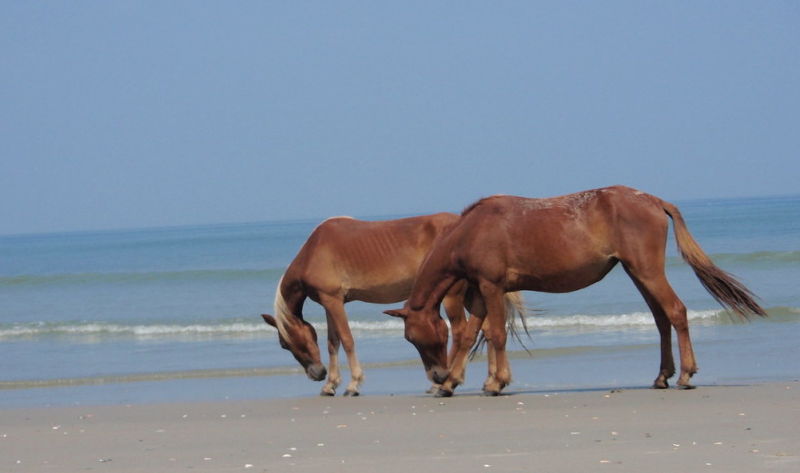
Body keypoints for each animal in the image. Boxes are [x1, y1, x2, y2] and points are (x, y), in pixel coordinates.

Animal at [260, 213, 524, 394]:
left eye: (284, 344)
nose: (316, 373)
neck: (314, 251)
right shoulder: (331, 301)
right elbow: (333, 342)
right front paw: (330, 385)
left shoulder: (333, 300)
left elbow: (346, 339)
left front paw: (353, 384)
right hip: (472, 293)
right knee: (488, 329)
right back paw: (490, 381)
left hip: (453, 296)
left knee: (461, 332)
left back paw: (446, 382)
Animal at [384, 186, 764, 396]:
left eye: (416, 338)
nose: (436, 375)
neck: (470, 230)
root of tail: (655, 201)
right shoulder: (480, 291)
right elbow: (470, 336)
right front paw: (455, 383)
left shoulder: (491, 286)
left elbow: (496, 335)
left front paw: (494, 382)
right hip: (637, 273)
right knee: (661, 319)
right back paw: (662, 376)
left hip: (647, 271)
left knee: (675, 312)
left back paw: (685, 374)